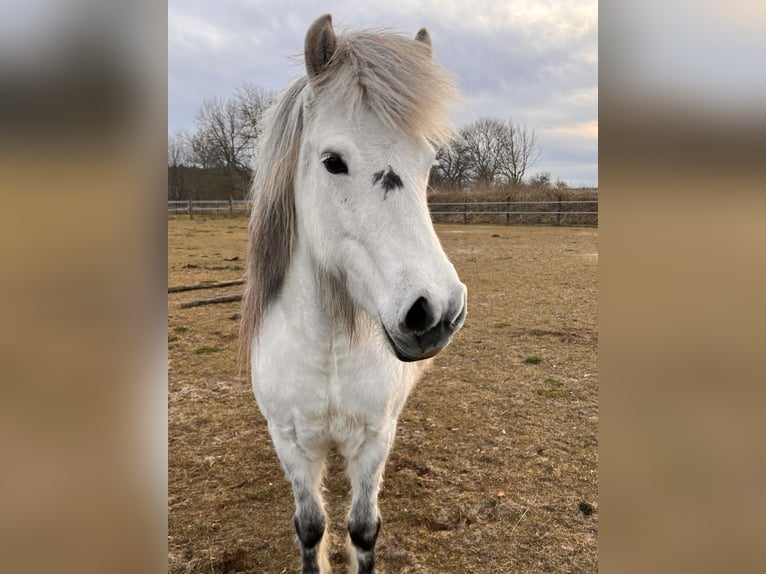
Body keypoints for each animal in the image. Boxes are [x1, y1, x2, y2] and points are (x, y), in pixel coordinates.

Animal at [239, 14, 467, 574]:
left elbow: (363, 529)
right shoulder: (291, 442)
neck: (328, 349)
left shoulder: (372, 440)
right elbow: (310, 526)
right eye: (332, 161)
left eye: (429, 161)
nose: (435, 310)